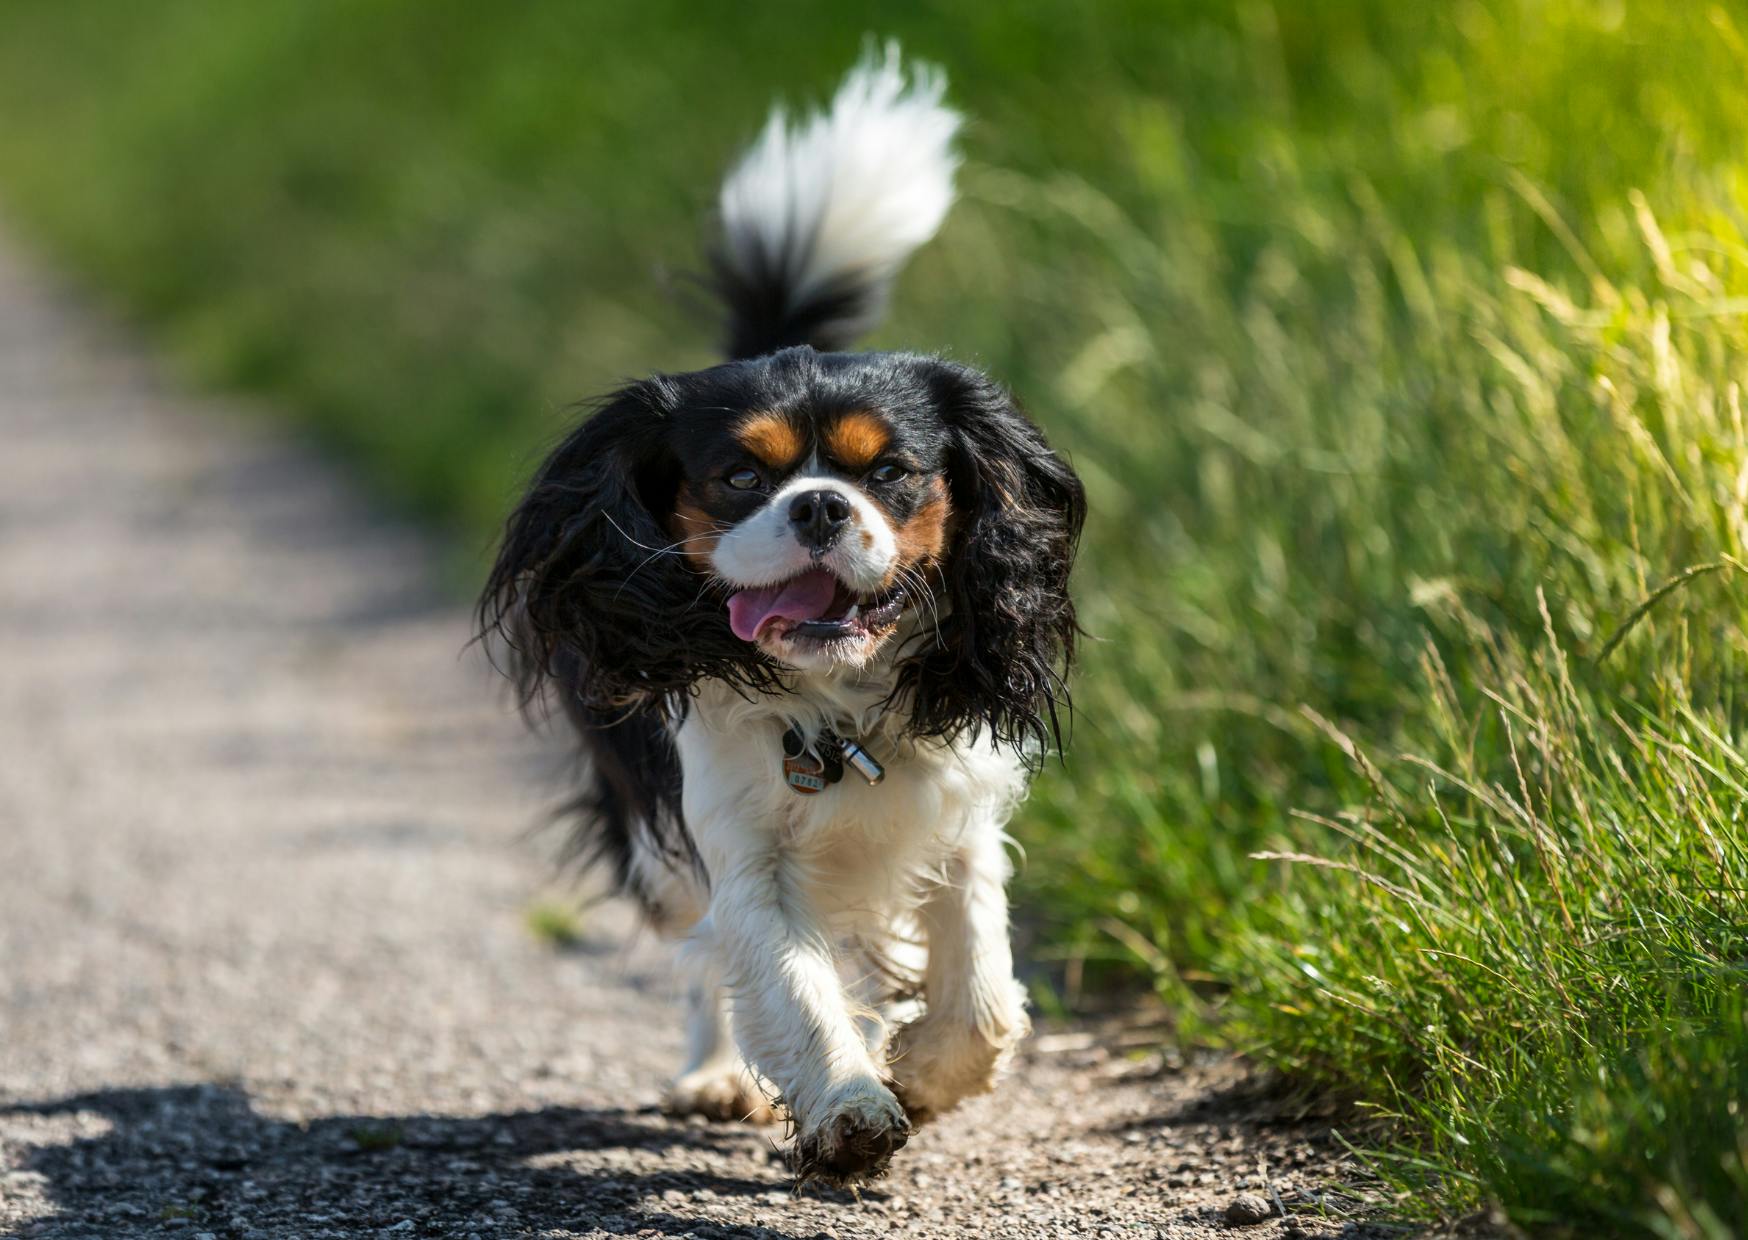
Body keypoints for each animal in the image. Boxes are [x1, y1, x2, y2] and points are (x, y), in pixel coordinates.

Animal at [478, 45, 1076, 1182]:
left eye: (890, 472)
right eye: (736, 478)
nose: (818, 504)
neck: (836, 703)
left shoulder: (960, 814)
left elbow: (978, 984)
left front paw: (926, 1072)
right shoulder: (736, 849)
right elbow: (788, 979)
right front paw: (849, 1105)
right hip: (659, 844)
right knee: (700, 953)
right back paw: (716, 1076)